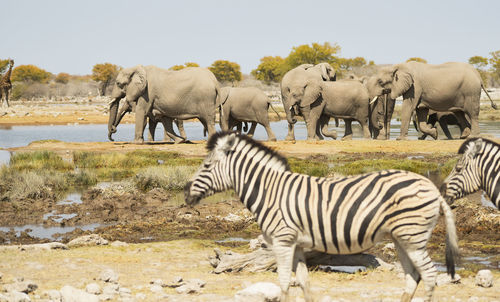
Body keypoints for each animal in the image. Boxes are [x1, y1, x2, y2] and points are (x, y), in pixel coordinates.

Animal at [186, 132, 458, 302]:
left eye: (207, 166)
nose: (186, 194)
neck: (270, 191)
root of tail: (432, 187)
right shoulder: (296, 245)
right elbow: (304, 282)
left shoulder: (282, 241)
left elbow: (284, 282)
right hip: (402, 238)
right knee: (413, 277)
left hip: (412, 236)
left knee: (429, 275)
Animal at [366, 62, 498, 142]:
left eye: (380, 82)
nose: (380, 124)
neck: (398, 66)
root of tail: (479, 76)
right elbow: (421, 111)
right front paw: (434, 133)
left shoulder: (415, 87)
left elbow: (408, 107)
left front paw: (400, 139)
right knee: (459, 113)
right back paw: (463, 137)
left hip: (471, 92)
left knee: (472, 113)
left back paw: (472, 136)